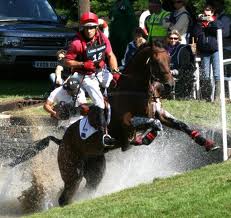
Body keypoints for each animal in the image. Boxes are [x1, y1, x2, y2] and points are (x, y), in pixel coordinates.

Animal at [6, 39, 217, 208]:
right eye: (157, 62)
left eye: (169, 59)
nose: (169, 86)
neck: (135, 90)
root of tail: (61, 141)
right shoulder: (128, 122)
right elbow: (155, 124)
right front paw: (143, 139)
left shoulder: (161, 114)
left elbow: (181, 125)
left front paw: (208, 144)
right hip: (71, 171)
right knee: (65, 196)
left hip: (95, 167)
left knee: (87, 187)